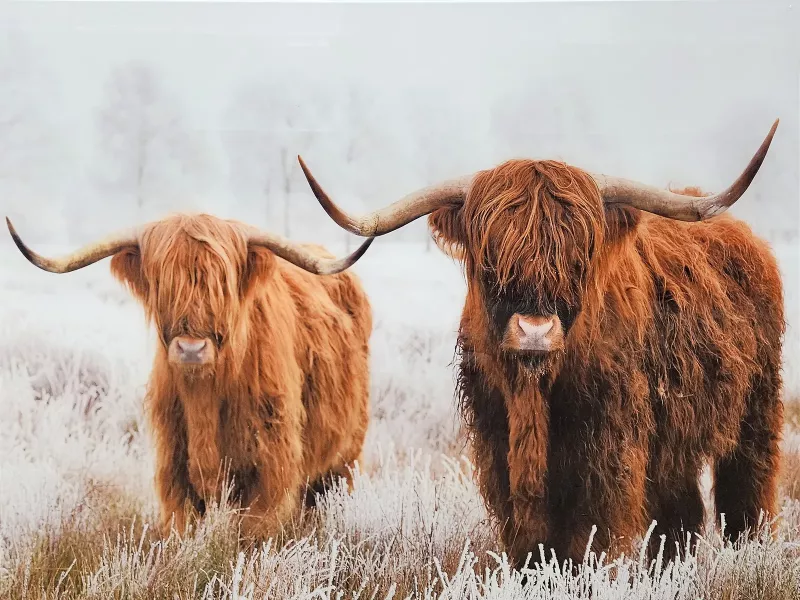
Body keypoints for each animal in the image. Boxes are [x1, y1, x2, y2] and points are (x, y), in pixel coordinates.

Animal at [6, 213, 375, 539]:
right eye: (162, 282)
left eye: (222, 283)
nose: (191, 349)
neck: (204, 397)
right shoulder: (174, 468)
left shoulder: (270, 468)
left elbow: (254, 533)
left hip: (345, 457)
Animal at [294, 119, 784, 569]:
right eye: (490, 259)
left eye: (579, 259)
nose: (534, 331)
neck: (535, 393)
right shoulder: (497, 444)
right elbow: (529, 538)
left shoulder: (609, 448)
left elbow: (592, 533)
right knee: (681, 512)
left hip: (757, 410)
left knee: (746, 493)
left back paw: (748, 554)